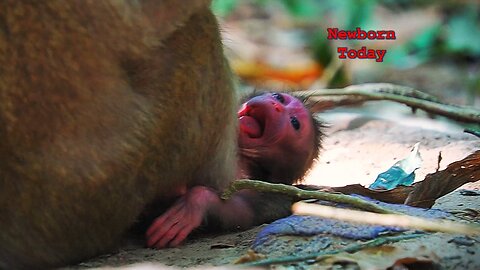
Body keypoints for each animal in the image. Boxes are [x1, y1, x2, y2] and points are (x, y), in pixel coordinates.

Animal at [146, 93, 322, 249]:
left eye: (295, 123)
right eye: (278, 97)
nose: (275, 106)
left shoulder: (256, 182)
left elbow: (243, 212)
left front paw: (195, 203)